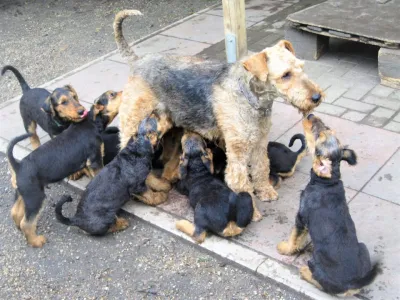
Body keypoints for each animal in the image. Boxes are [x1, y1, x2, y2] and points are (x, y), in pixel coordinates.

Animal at [6, 92, 120, 247]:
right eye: (112, 94)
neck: (91, 122)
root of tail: (18, 166)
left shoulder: (89, 164)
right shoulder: (95, 160)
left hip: (25, 194)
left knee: (15, 212)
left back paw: (21, 229)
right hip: (36, 197)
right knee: (26, 222)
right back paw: (36, 241)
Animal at [114, 9, 324, 220]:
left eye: (302, 67)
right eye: (286, 74)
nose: (317, 97)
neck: (250, 96)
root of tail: (137, 61)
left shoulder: (259, 142)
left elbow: (261, 167)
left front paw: (265, 191)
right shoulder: (237, 151)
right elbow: (240, 181)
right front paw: (252, 211)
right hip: (134, 124)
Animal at [276, 114, 380, 296]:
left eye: (318, 136)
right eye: (328, 129)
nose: (310, 115)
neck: (326, 182)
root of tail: (352, 284)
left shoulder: (301, 217)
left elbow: (294, 237)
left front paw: (285, 248)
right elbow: (300, 238)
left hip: (316, 260)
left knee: (321, 283)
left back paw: (305, 271)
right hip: (363, 247)